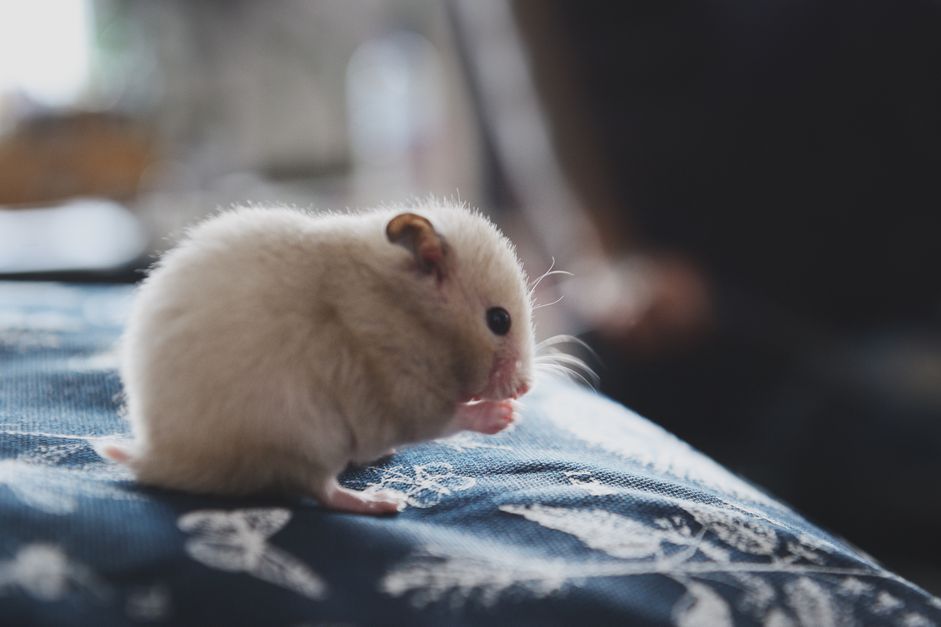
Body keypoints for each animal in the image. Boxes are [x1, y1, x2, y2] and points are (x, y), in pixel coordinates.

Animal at [102, 204, 532, 516]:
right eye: (499, 320)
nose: (526, 389)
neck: (406, 309)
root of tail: (162, 459)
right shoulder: (398, 391)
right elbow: (442, 419)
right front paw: (504, 415)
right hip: (304, 437)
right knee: (320, 490)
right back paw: (383, 502)